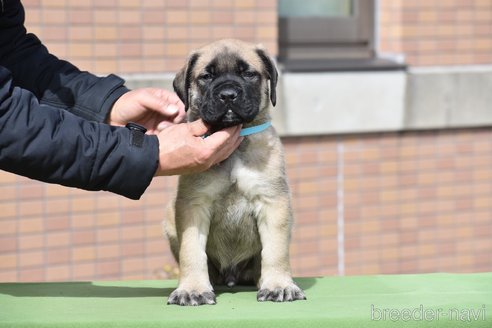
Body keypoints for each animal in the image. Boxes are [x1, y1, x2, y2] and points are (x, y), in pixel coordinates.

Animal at [163, 39, 306, 306]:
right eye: (206, 76)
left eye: (249, 74)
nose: (228, 95)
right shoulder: (193, 205)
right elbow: (192, 251)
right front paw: (192, 289)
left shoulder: (273, 203)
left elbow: (276, 251)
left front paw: (279, 285)